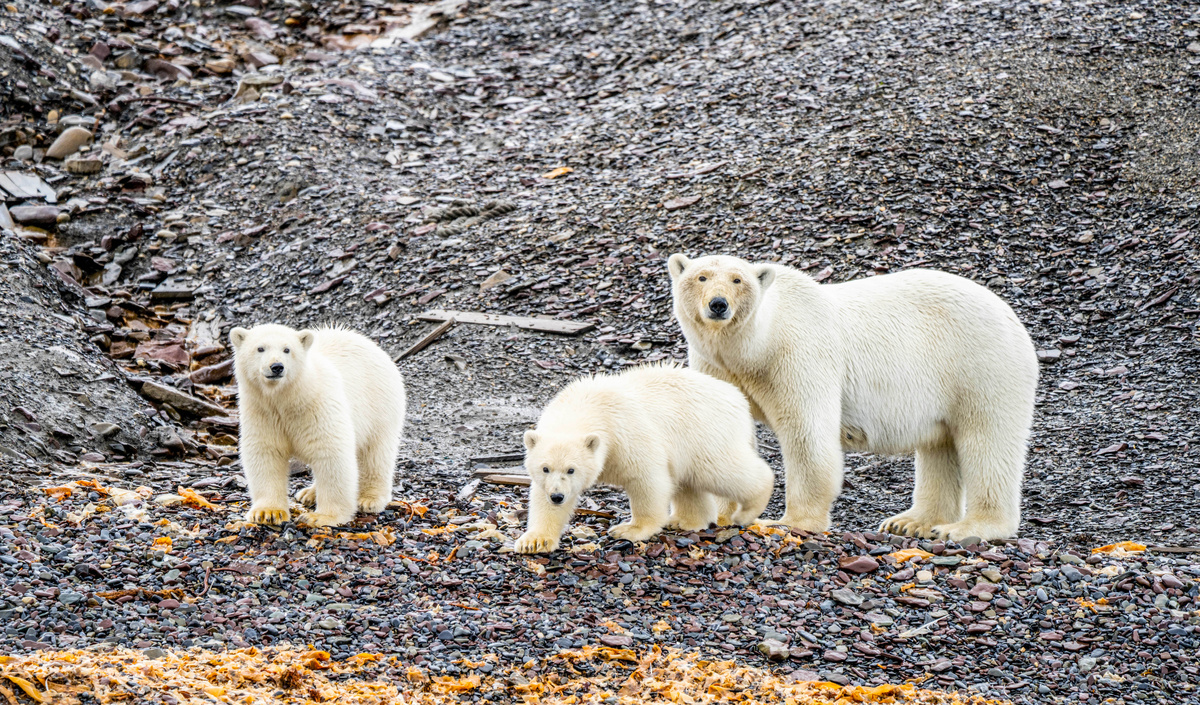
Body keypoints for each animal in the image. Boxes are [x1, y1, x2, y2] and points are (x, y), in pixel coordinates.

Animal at [229, 321, 408, 525]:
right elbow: (266, 453)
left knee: (376, 453)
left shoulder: (318, 406)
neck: (288, 399)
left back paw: (369, 499)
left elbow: (330, 453)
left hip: (380, 405)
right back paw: (309, 493)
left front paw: (321, 517)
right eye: (260, 348)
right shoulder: (261, 412)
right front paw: (269, 512)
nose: (276, 366)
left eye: (287, 349)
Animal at [511, 366, 772, 553]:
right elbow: (541, 498)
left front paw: (630, 529)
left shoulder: (626, 431)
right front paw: (534, 541)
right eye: (545, 468)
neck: (588, 405)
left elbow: (646, 478)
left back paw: (749, 508)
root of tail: (738, 399)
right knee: (690, 482)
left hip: (704, 431)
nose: (557, 496)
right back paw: (685, 520)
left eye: (571, 469)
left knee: (720, 469)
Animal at [672, 252, 1036, 539]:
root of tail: (1010, 315)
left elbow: (807, 434)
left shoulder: (798, 355)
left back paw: (968, 528)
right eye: (701, 277)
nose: (718, 305)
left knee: (987, 441)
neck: (757, 346)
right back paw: (911, 522)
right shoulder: (716, 368)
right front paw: (719, 514)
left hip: (980, 364)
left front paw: (791, 522)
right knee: (940, 445)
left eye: (738, 280)